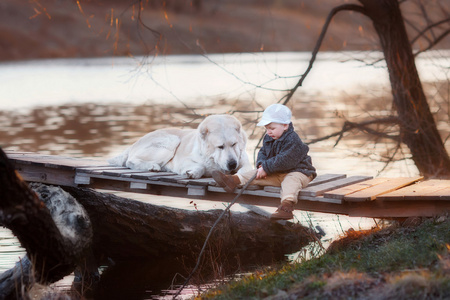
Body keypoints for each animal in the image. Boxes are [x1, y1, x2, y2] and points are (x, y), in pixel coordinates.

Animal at [107, 114, 251, 178]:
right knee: (130, 161)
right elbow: (200, 167)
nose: (232, 164)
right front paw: (193, 172)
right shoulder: (182, 161)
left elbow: (246, 169)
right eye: (220, 147)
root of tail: (133, 144)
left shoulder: (244, 162)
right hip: (171, 140)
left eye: (234, 144)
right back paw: (153, 166)